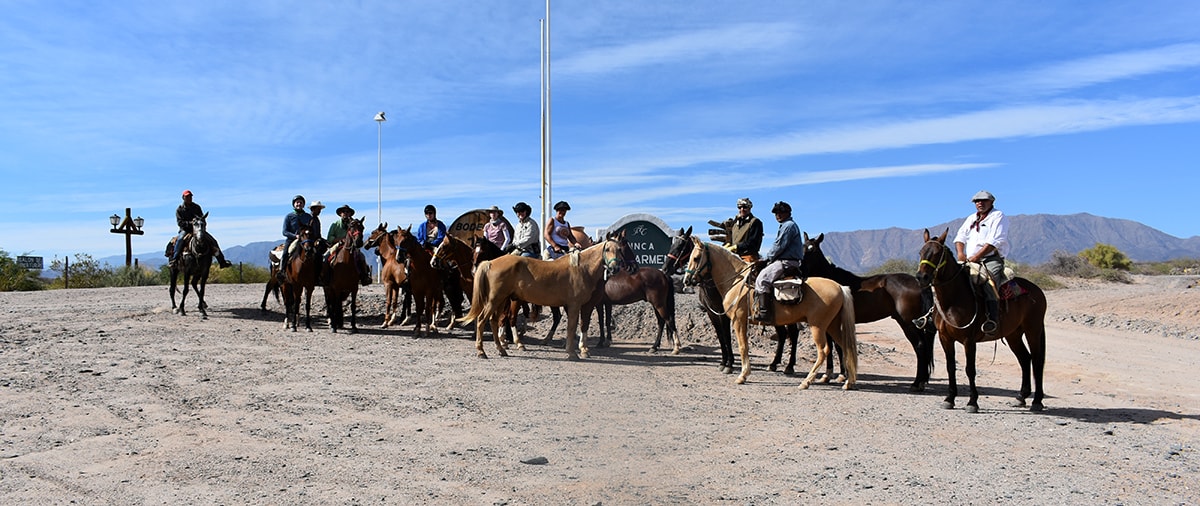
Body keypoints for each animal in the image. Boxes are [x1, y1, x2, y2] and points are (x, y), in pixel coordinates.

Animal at [456, 233, 638, 359]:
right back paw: (482, 351)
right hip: (495, 300)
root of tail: (490, 262)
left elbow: (581, 326)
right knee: (482, 320)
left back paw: (501, 349)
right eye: (607, 249)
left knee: (494, 321)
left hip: (502, 300)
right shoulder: (574, 305)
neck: (581, 269)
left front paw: (581, 350)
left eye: (620, 250)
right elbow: (572, 328)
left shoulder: (584, 306)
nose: (614, 268)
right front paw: (573, 353)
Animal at [681, 237, 859, 388]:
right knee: (845, 347)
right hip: (832, 326)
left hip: (818, 327)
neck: (737, 281)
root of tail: (839, 287)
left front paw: (742, 375)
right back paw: (848, 382)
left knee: (823, 351)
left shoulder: (738, 320)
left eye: (696, 258)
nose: (686, 281)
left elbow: (742, 346)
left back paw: (806, 381)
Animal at [801, 232, 940, 390]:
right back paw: (921, 381)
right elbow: (837, 347)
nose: (800, 269)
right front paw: (838, 375)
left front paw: (833, 375)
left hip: (908, 323)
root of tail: (919, 282)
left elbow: (833, 347)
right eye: (803, 247)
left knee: (920, 347)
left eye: (812, 250)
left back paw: (917, 383)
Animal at [912, 227, 1046, 410]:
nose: (921, 277)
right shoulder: (945, 338)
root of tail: (1037, 290)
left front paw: (972, 402)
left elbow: (970, 369)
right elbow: (950, 367)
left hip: (1033, 330)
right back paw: (1021, 396)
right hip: (1013, 334)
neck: (953, 299)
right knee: (1025, 359)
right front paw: (949, 398)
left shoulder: (969, 340)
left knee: (1037, 361)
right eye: (921, 252)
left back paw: (1037, 401)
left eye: (937, 253)